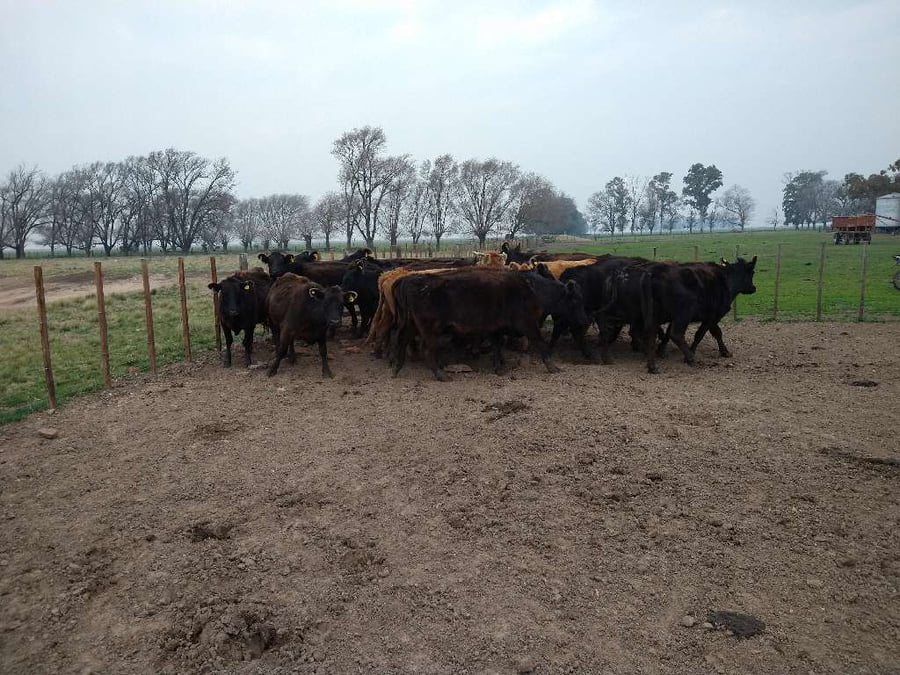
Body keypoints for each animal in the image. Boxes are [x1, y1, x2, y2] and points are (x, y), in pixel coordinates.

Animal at [388, 267, 561, 381]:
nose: (562, 287)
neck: (528, 288)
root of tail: (411, 280)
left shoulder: (496, 329)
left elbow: (497, 347)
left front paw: (499, 368)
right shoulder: (528, 324)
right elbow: (540, 342)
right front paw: (553, 367)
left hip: (411, 324)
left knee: (401, 341)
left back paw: (396, 369)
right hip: (432, 330)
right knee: (427, 350)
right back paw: (442, 375)